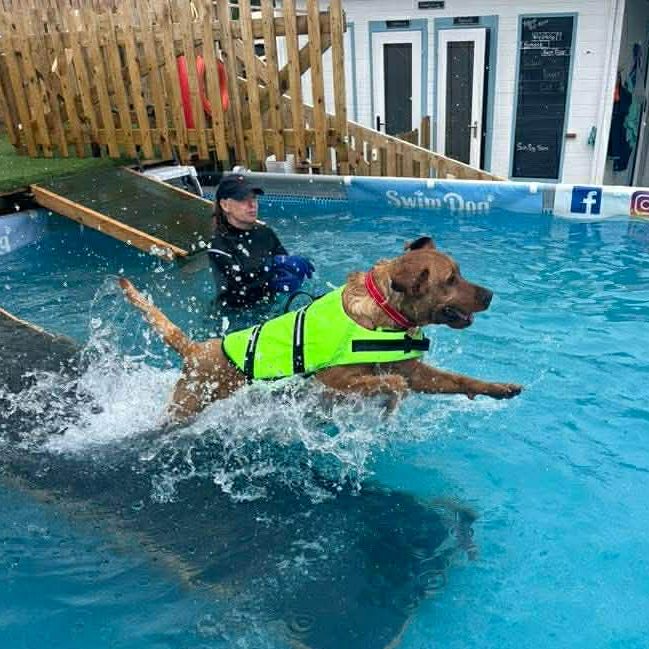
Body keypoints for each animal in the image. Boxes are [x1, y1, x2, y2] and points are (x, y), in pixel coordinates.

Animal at [119, 237, 522, 423]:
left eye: (460, 272)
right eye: (451, 280)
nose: (490, 295)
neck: (382, 312)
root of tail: (194, 349)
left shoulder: (416, 370)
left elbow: (459, 379)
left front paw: (500, 388)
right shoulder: (334, 381)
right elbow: (392, 383)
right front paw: (390, 405)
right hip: (187, 405)